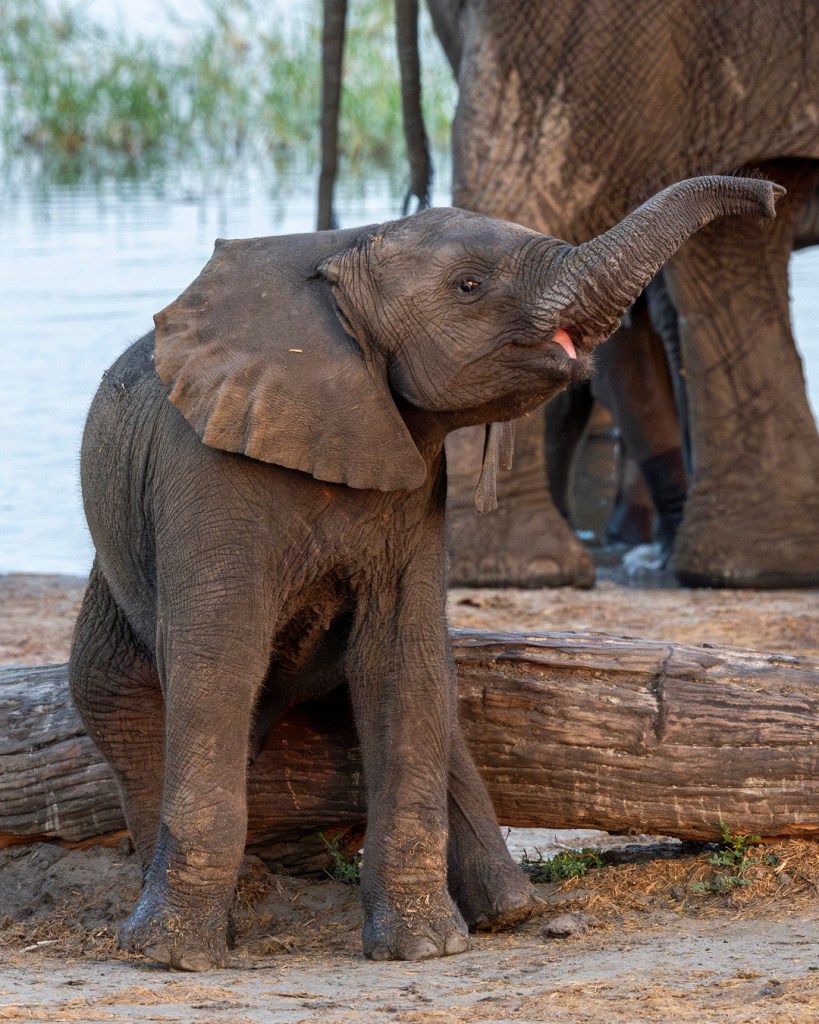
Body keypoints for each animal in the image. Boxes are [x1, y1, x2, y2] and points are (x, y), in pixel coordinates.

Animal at [69, 176, 781, 972]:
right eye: (469, 287)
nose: (771, 195)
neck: (348, 250)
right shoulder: (207, 469)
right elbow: (217, 658)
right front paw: (176, 957)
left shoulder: (416, 484)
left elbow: (400, 657)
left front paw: (424, 948)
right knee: (112, 694)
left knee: (436, 691)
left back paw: (511, 911)